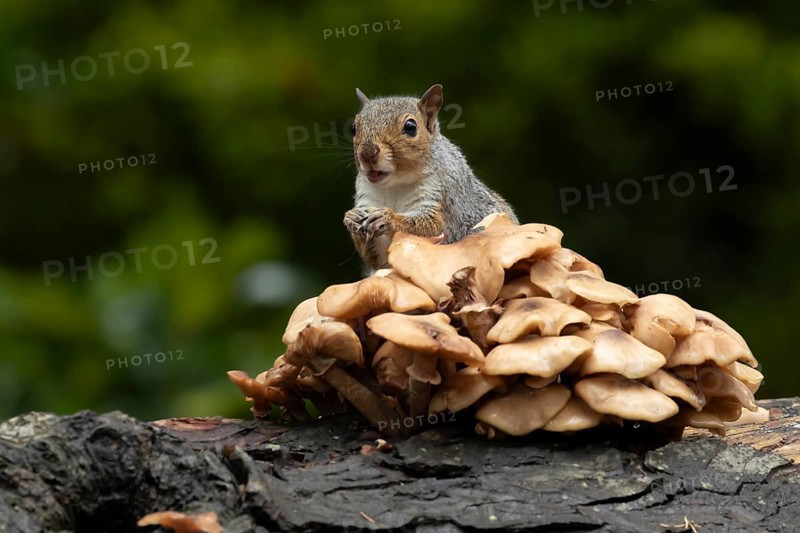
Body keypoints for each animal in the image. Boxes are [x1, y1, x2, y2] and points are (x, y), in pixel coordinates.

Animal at [343, 84, 518, 271]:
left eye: (411, 126)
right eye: (353, 128)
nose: (367, 153)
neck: (394, 185)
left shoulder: (441, 193)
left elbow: (434, 227)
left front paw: (388, 218)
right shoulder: (367, 195)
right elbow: (377, 257)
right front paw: (351, 218)